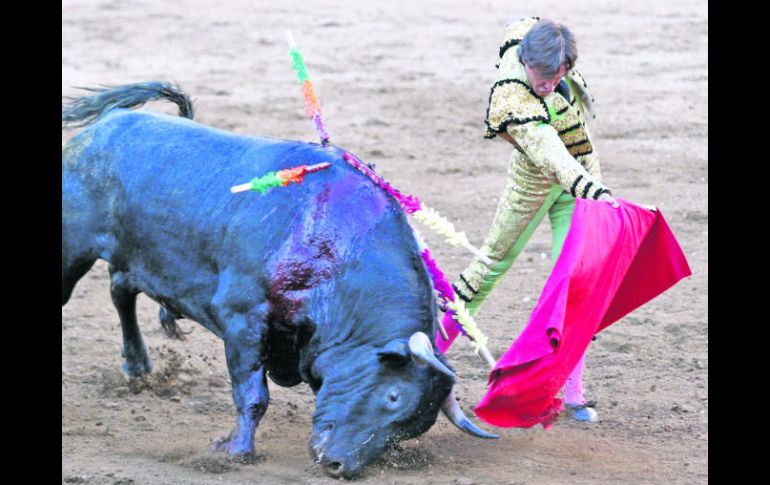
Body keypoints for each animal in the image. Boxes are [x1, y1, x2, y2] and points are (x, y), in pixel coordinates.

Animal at [58, 82, 492, 476]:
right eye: (394, 396)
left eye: (412, 427)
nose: (339, 465)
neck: (333, 241)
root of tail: (105, 126)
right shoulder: (242, 318)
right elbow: (252, 394)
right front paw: (234, 451)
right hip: (73, 248)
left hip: (134, 257)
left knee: (120, 290)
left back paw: (137, 367)